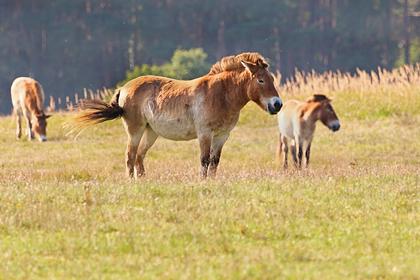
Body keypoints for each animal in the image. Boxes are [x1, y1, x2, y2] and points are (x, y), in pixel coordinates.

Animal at [77, 52, 284, 178]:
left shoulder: (222, 135)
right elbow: (204, 160)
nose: (277, 104)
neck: (221, 95)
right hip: (135, 130)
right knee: (130, 156)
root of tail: (124, 87)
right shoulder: (205, 134)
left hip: (151, 132)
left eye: (272, 79)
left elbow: (215, 162)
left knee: (139, 157)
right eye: (261, 80)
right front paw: (203, 183)